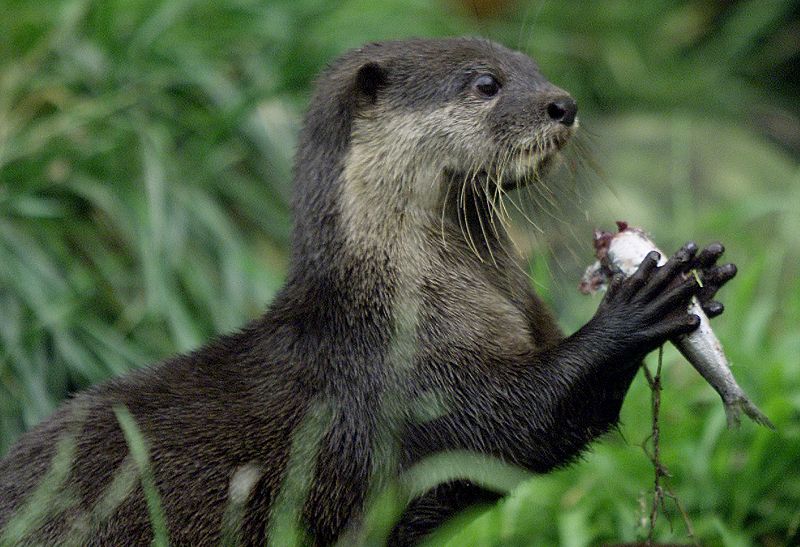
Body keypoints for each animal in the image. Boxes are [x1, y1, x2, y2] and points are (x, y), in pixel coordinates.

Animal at [0, 36, 736, 544]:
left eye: (529, 64)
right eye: (486, 83)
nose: (564, 103)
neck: (400, 303)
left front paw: (701, 273)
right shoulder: (412, 382)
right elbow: (524, 423)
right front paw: (636, 305)